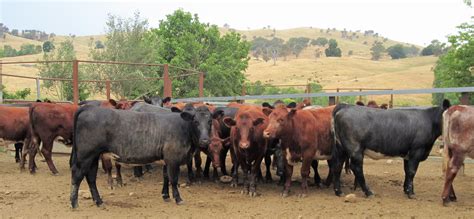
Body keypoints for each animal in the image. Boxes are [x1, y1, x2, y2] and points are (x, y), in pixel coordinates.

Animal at [70, 104, 211, 207]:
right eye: (195, 121)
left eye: (210, 121)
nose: (205, 140)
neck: (183, 127)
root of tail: (89, 107)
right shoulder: (173, 159)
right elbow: (173, 179)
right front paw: (178, 198)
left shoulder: (166, 159)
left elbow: (166, 176)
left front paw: (165, 196)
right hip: (85, 155)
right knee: (78, 175)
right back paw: (74, 203)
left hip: (94, 156)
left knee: (91, 177)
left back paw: (99, 201)